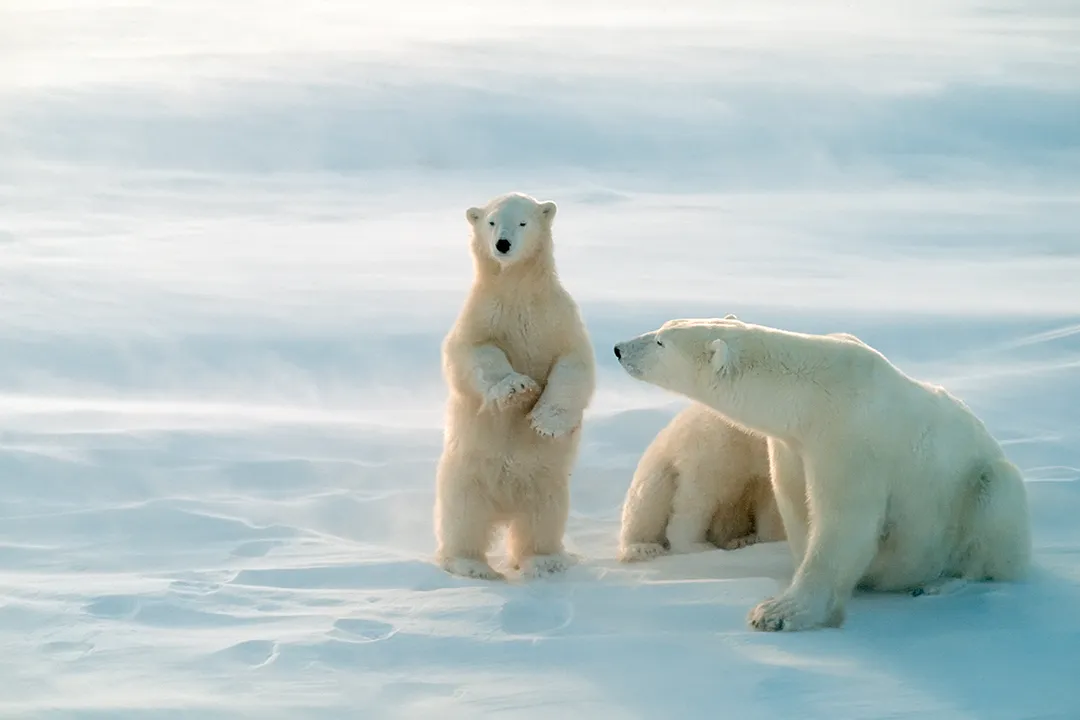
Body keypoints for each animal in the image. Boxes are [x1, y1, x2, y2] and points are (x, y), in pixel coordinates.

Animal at [434, 192, 596, 581]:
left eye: (522, 222)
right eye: (491, 221)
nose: (503, 245)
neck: (518, 290)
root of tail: (504, 507)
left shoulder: (556, 318)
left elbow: (573, 363)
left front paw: (544, 421)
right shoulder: (482, 315)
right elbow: (475, 353)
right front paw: (517, 388)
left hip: (547, 483)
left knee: (542, 519)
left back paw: (546, 561)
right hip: (465, 474)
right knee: (463, 518)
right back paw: (471, 565)